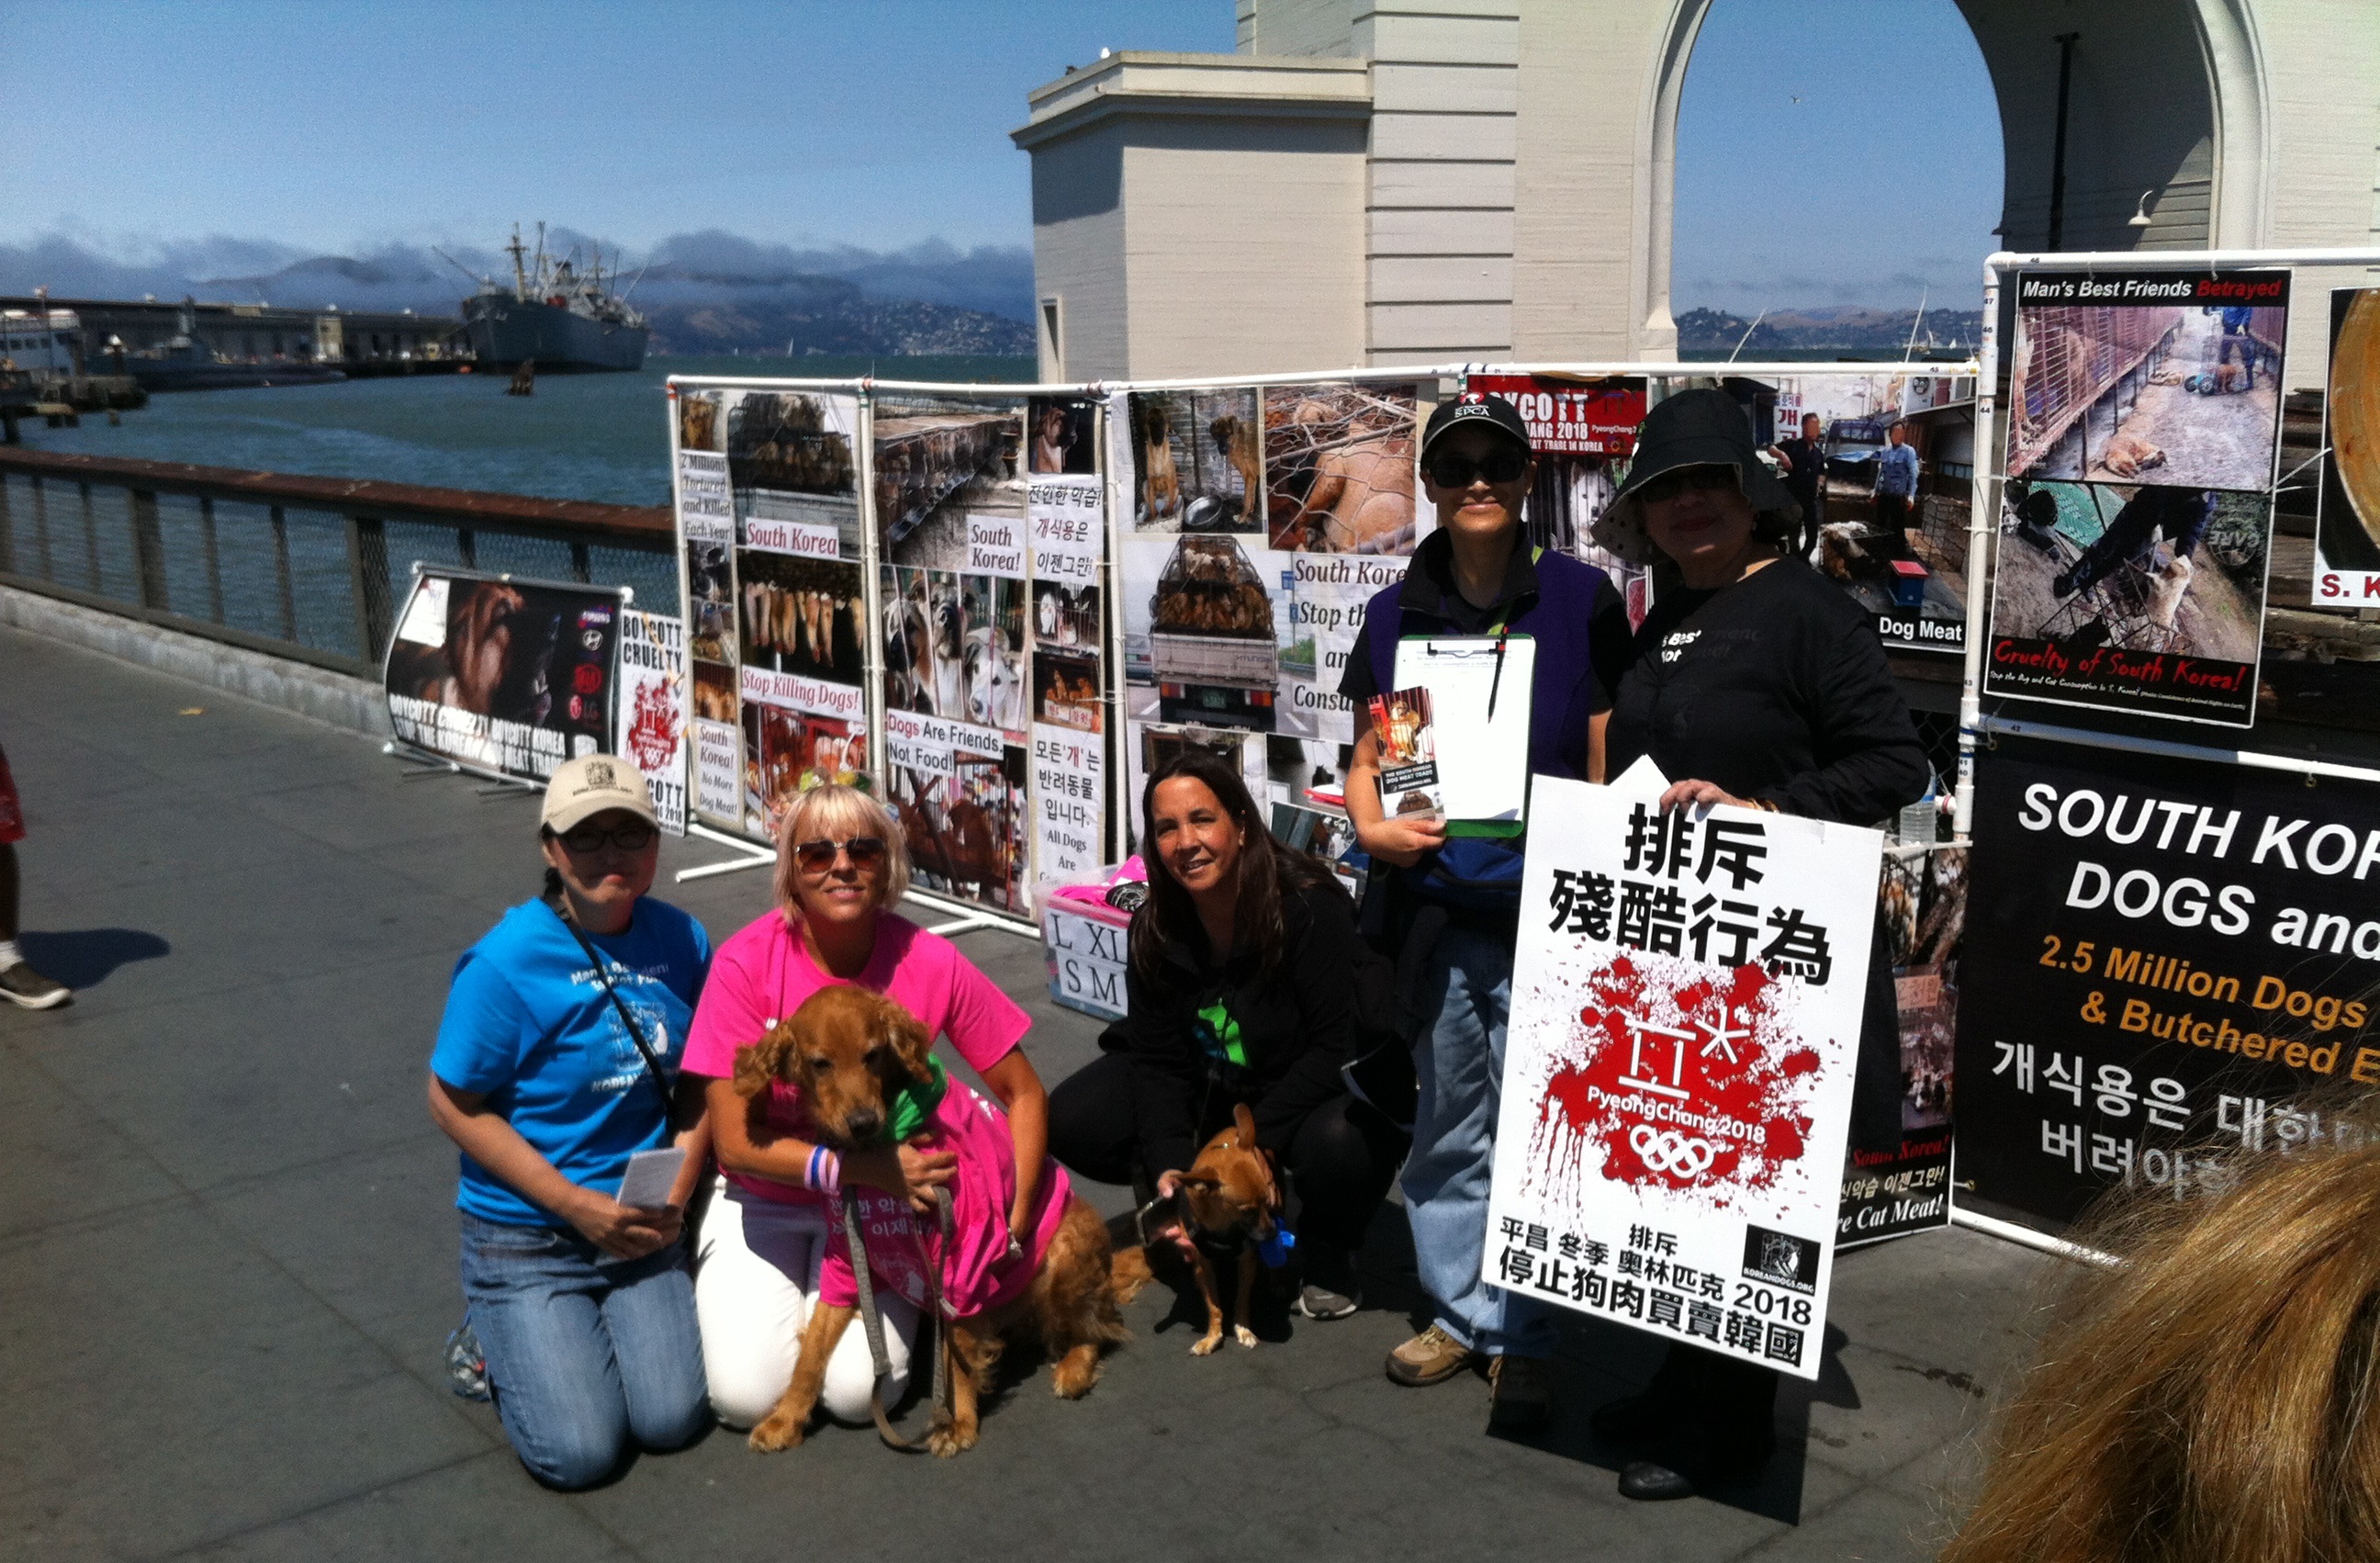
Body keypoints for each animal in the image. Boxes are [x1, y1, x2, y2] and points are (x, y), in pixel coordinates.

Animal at [728, 989, 1128, 1446]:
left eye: (873, 1054)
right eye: (820, 1063)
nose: (863, 1123)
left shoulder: (964, 1261)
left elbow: (955, 1357)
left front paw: (959, 1421)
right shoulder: (847, 1259)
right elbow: (812, 1349)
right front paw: (786, 1418)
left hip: (1065, 1255)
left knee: (1099, 1325)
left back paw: (1075, 1366)